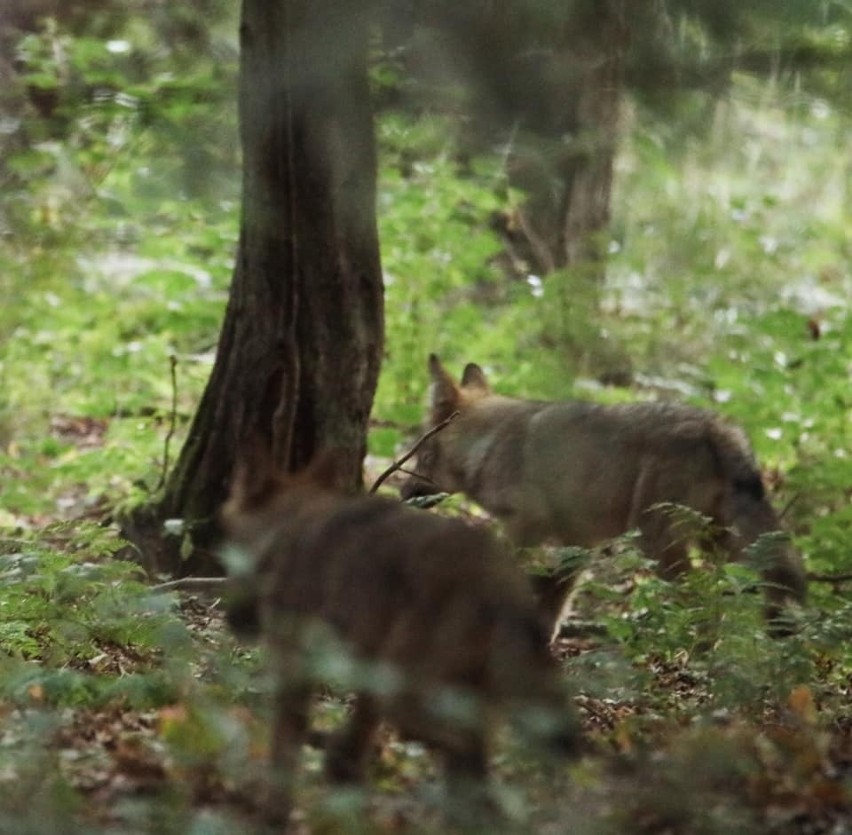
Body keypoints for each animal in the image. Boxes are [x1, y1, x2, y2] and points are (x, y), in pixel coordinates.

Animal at [220, 450, 584, 824]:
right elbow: (353, 745)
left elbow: (284, 755)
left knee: (467, 752)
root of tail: (497, 585)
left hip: (409, 701)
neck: (291, 523)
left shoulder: (297, 671)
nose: (233, 620)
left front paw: (274, 815)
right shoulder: (369, 676)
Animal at [400, 356, 804, 636]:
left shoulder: (525, 524)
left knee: (704, 602)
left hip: (658, 543)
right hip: (721, 544)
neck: (489, 444)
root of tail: (717, 426)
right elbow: (555, 598)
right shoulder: (580, 540)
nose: (401, 494)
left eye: (421, 455)